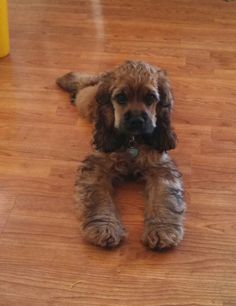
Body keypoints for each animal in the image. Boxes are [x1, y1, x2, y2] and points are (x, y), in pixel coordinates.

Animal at [56, 59, 185, 249]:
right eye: (121, 98)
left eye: (150, 98)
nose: (136, 121)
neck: (132, 141)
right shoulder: (98, 166)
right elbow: (99, 198)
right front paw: (103, 228)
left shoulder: (160, 167)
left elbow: (165, 197)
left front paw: (161, 230)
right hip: (86, 101)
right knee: (86, 84)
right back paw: (68, 79)